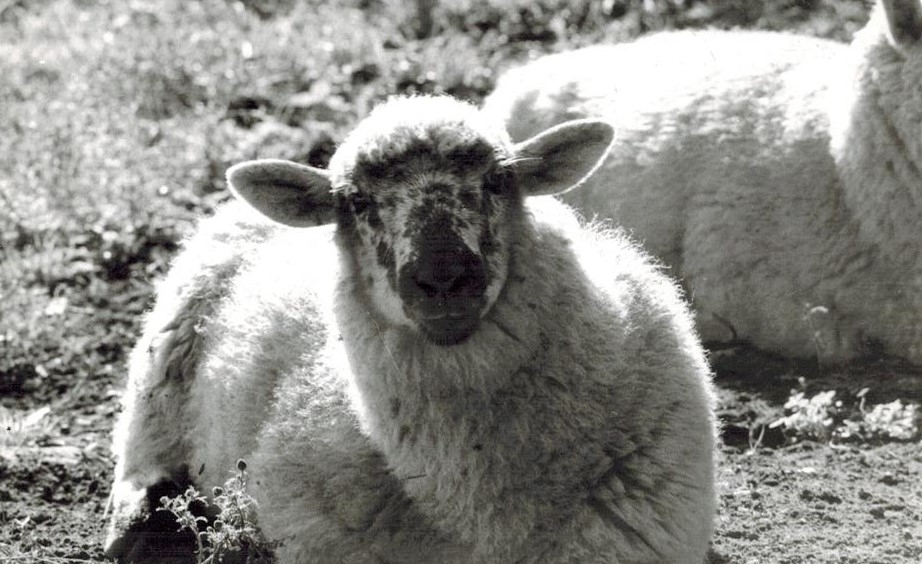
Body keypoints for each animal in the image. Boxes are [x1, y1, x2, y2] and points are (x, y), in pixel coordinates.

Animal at [104, 97, 716, 564]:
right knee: (138, 455)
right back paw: (138, 525)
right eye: (355, 201)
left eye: (499, 180)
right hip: (163, 362)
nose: (444, 279)